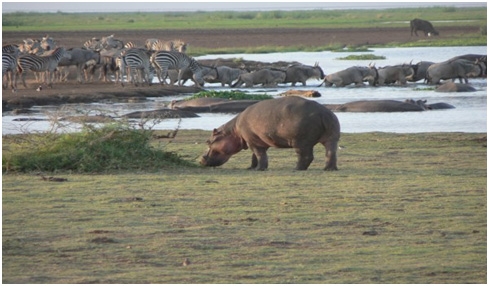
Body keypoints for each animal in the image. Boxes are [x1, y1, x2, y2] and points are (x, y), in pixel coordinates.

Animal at [198, 97, 340, 171]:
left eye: (208, 141)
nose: (201, 159)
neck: (233, 131)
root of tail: (323, 113)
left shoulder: (253, 142)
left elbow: (260, 155)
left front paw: (259, 169)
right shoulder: (255, 140)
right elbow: (254, 156)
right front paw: (251, 168)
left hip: (300, 142)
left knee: (306, 156)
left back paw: (296, 168)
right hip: (332, 137)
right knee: (331, 152)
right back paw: (329, 169)